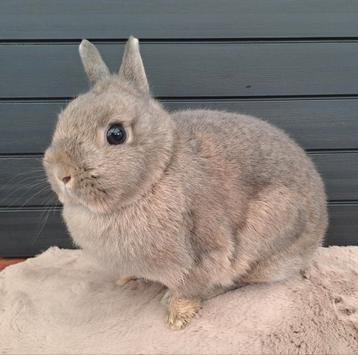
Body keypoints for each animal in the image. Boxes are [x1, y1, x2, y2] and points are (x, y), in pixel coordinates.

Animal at [42, 36, 328, 330]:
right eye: (62, 120)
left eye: (116, 133)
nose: (61, 173)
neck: (157, 175)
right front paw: (127, 278)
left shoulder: (205, 254)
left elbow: (191, 287)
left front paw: (177, 317)